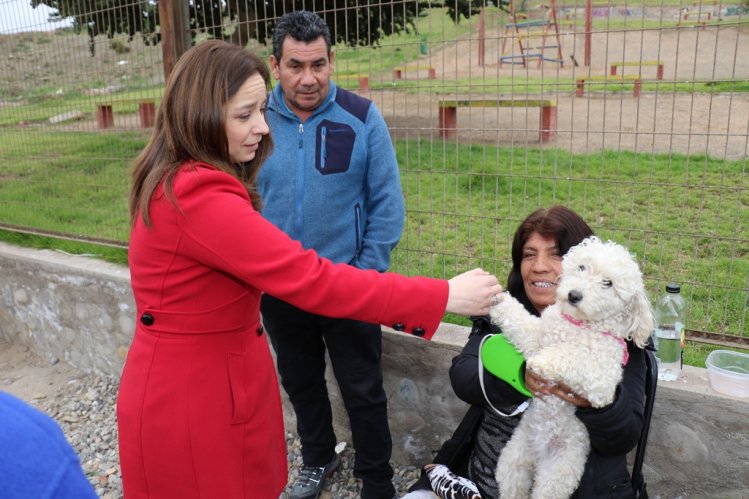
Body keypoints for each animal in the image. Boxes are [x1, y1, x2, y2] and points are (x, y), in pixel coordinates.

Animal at [488, 237, 652, 499]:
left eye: (608, 283)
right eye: (582, 267)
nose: (574, 295)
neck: (579, 325)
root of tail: (539, 455)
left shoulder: (603, 382)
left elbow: (573, 356)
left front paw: (543, 363)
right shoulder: (537, 338)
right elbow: (521, 321)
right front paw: (498, 298)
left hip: (558, 473)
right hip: (514, 460)